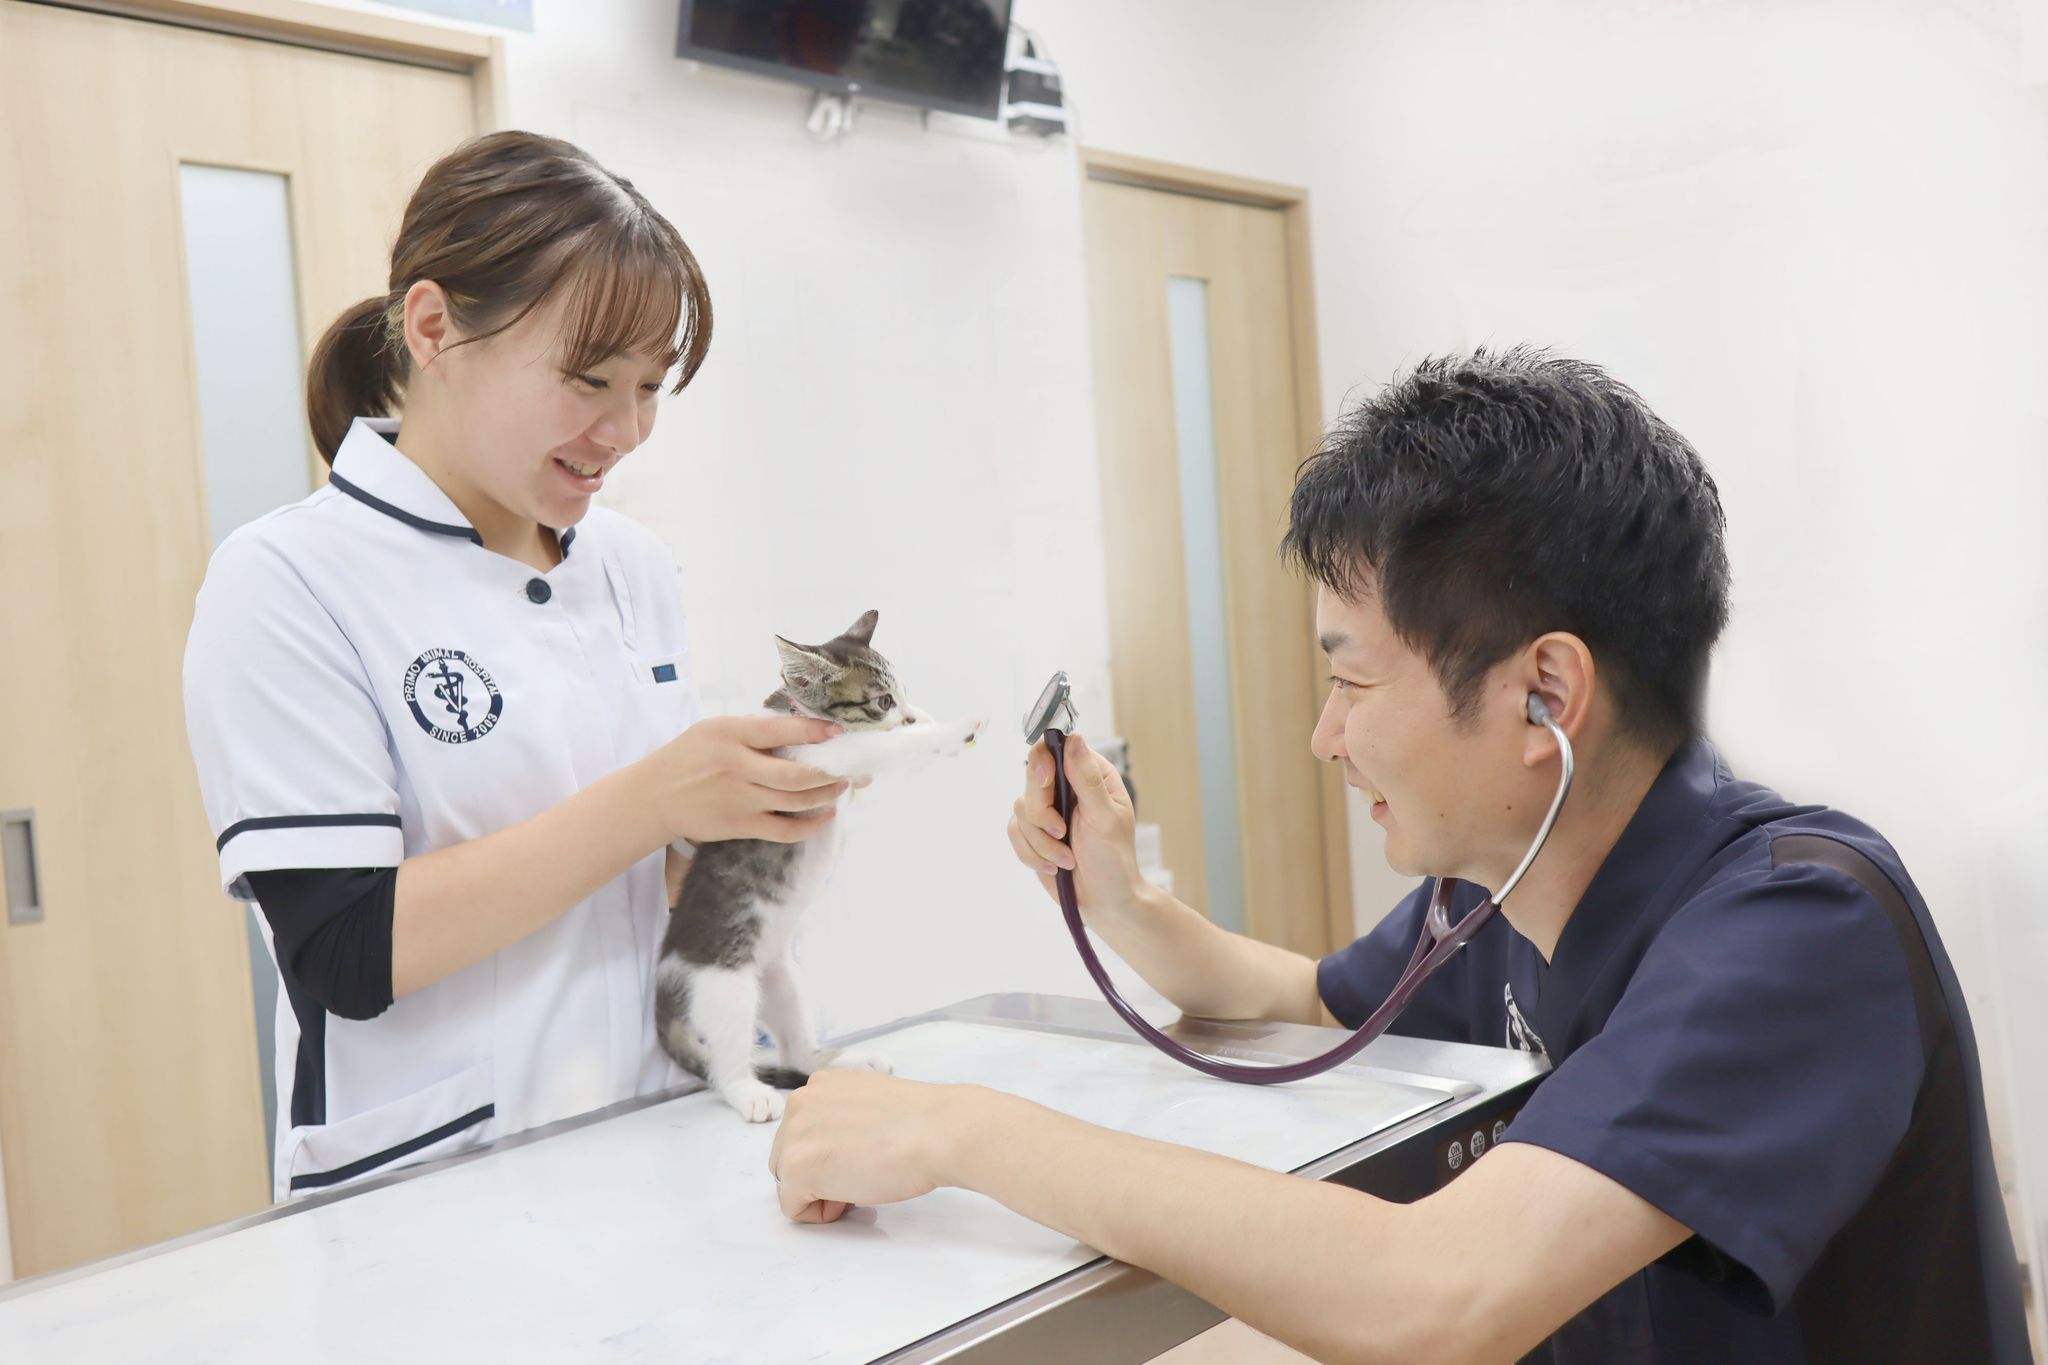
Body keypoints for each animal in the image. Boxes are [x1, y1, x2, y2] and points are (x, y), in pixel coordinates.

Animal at [654, 610, 983, 1122]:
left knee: (797, 1051)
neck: (800, 714)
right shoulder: (821, 756)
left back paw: (845, 1061)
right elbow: (889, 746)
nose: (909, 713)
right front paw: (948, 728)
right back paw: (749, 1093)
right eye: (882, 700)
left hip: (782, 979)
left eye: (904, 692)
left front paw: (927, 720)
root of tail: (665, 979)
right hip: (724, 988)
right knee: (723, 1064)